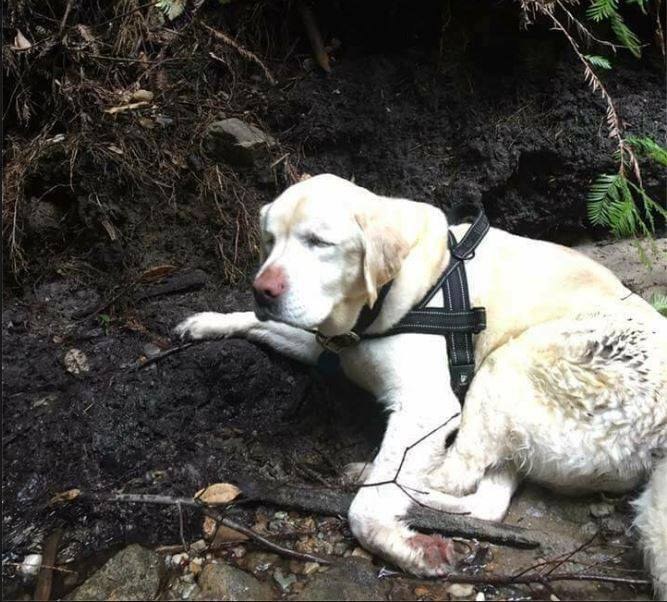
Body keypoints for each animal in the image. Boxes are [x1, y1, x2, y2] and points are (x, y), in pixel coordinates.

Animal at [176, 171, 667, 592]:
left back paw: (378, 476)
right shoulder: (325, 342)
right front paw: (208, 322)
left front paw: (405, 547)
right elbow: (259, 325)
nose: (263, 289)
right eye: (269, 241)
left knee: (453, 474)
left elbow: (366, 511)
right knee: (486, 500)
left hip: (509, 364)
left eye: (319, 242)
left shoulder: (427, 406)